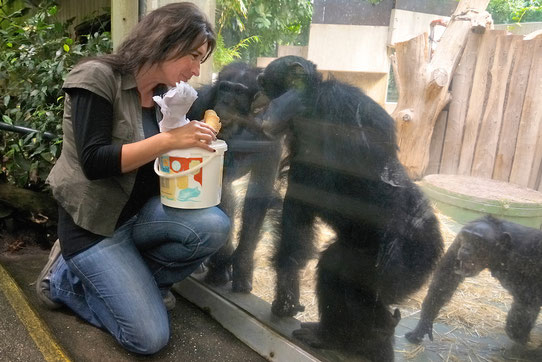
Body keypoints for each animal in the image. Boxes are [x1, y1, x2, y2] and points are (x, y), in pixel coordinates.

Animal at [187, 62, 282, 292]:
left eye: (238, 92)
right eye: (224, 88)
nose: (225, 101)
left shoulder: (272, 136)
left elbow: (258, 198)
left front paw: (242, 267)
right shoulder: (198, 105)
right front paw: (220, 267)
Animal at [260, 55, 446, 360]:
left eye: (266, 88)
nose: (262, 106)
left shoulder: (343, 104)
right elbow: (297, 212)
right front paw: (286, 290)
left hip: (412, 260)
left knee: (367, 288)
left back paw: (376, 331)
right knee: (335, 268)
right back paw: (345, 337)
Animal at [406, 216, 542, 346]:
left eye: (476, 240)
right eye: (466, 237)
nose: (465, 248)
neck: (501, 253)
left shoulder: (530, 250)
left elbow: (528, 300)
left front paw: (518, 333)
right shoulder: (458, 241)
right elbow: (446, 277)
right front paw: (423, 325)